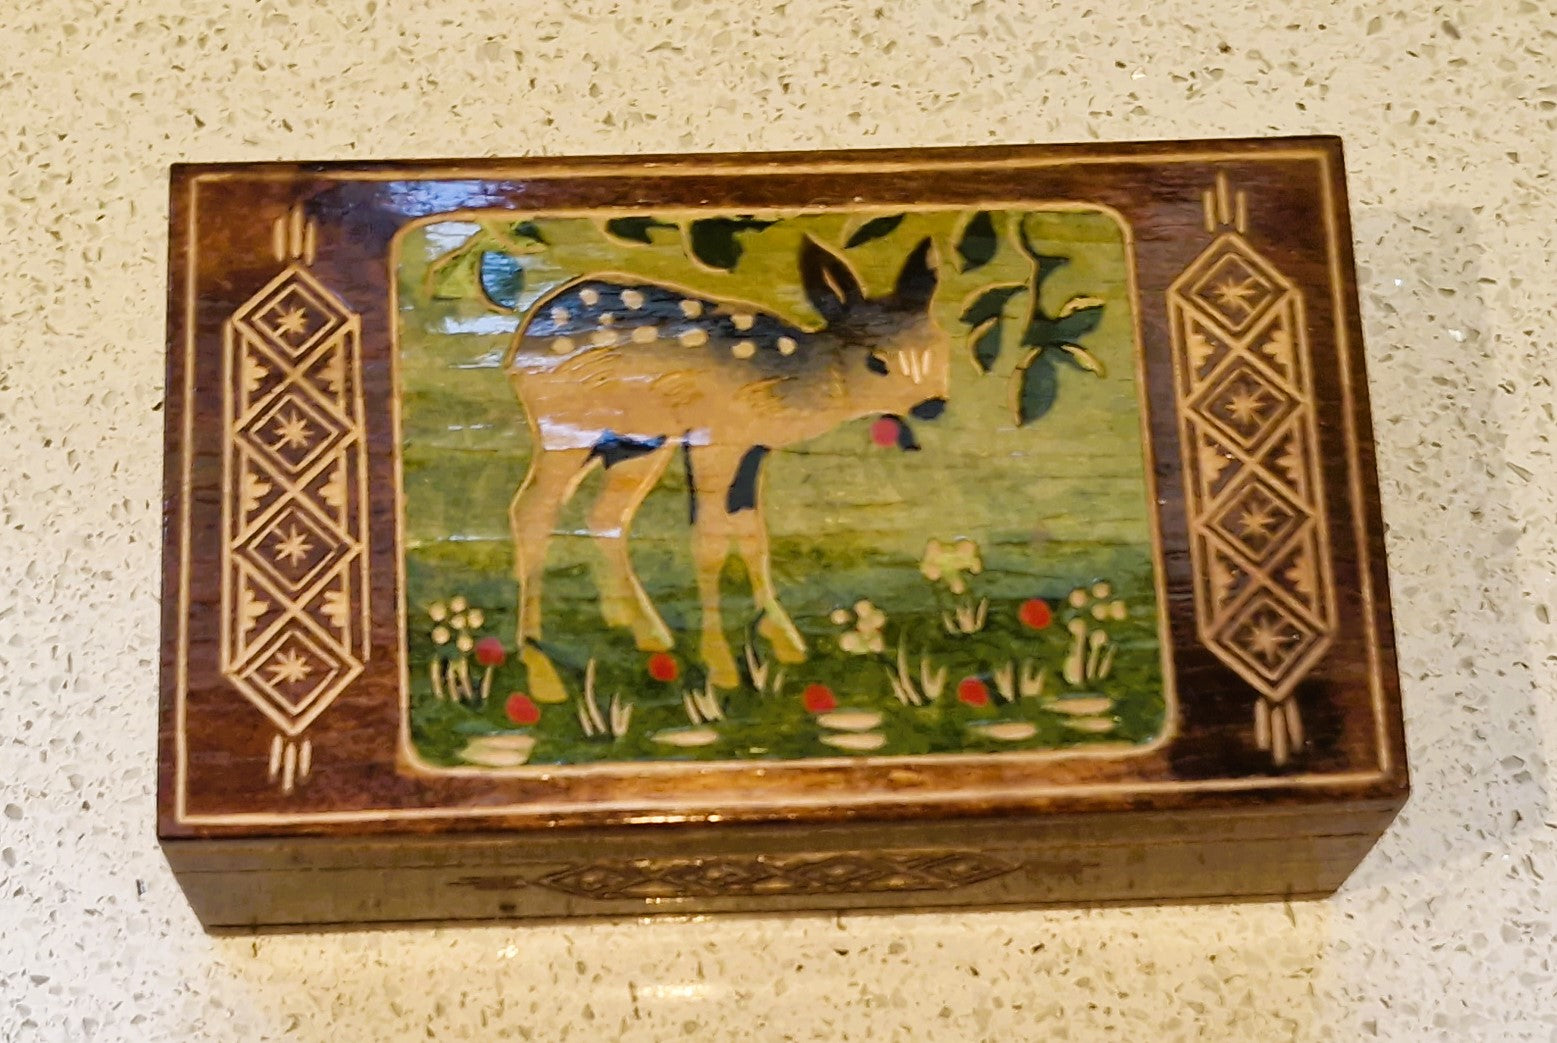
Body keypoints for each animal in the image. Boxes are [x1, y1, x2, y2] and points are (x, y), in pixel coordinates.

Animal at [501, 234, 950, 703]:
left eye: (940, 348)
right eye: (876, 361)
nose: (932, 406)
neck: (784, 383)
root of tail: (517, 347)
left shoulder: (752, 448)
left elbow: (753, 534)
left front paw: (784, 639)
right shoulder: (714, 437)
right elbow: (710, 539)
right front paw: (721, 665)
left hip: (638, 443)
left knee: (606, 517)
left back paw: (646, 633)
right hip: (563, 429)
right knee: (532, 510)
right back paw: (539, 664)